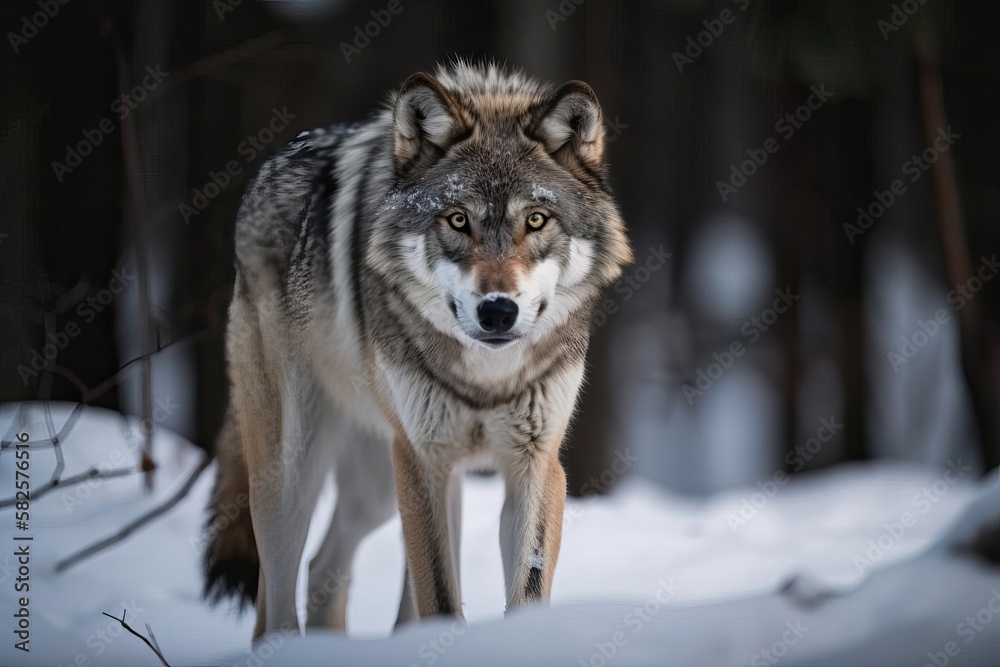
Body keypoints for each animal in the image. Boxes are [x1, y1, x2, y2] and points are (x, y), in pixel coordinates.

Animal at [202, 61, 633, 638]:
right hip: (296, 474)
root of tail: (263, 175)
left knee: (322, 567)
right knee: (276, 596)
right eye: (457, 219)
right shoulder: (420, 460)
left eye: (537, 220)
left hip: (382, 490)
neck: (486, 379)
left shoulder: (535, 464)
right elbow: (440, 595)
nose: (498, 311)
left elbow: (526, 585)